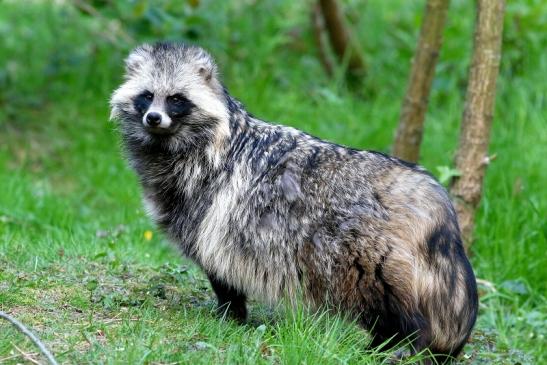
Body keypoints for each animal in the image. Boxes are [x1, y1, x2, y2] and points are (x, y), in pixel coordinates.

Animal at [111, 43, 480, 362]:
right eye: (147, 96)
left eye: (176, 99)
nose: (153, 118)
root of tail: (431, 193)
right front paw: (234, 314)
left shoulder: (207, 209)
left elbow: (218, 265)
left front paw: (229, 313)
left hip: (366, 257)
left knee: (389, 305)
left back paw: (392, 343)